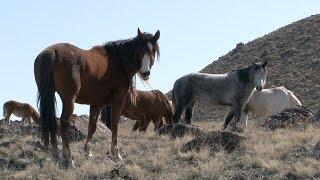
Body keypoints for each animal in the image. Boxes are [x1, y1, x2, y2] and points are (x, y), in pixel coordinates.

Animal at [33, 28, 160, 167]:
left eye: (153, 50)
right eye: (139, 51)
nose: (145, 73)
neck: (118, 61)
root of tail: (51, 52)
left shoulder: (96, 103)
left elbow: (92, 126)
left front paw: (88, 151)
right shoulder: (118, 100)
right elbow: (114, 124)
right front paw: (116, 153)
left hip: (48, 95)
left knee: (51, 120)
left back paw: (56, 154)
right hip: (68, 100)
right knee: (63, 122)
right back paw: (68, 157)